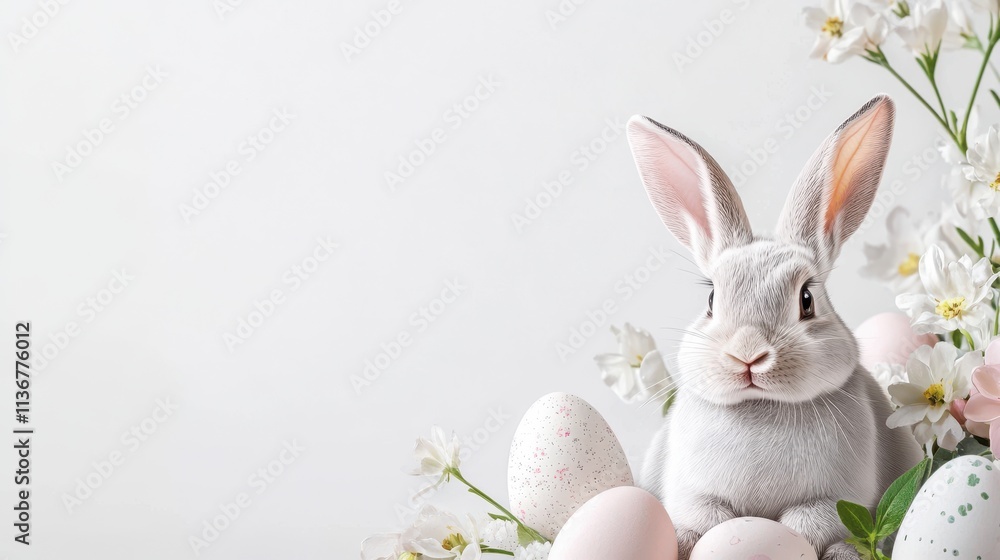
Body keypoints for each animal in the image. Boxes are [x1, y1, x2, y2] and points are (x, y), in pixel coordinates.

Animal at [625, 95, 924, 560]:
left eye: (807, 300)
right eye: (711, 300)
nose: (747, 354)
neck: (761, 407)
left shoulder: (830, 500)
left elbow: (806, 525)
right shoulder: (694, 493)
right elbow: (705, 519)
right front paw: (687, 541)